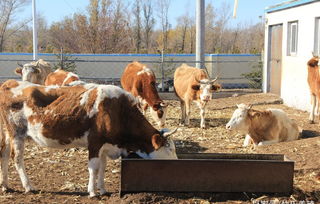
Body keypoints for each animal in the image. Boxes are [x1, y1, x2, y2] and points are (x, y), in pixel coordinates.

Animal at [0, 80, 178, 198]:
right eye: (169, 149)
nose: (176, 162)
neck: (118, 110)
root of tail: (9, 83)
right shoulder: (95, 143)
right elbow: (93, 168)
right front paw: (92, 192)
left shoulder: (106, 146)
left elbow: (103, 167)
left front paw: (103, 189)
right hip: (17, 134)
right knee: (17, 158)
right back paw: (28, 186)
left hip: (8, 134)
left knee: (4, 155)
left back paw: (5, 185)